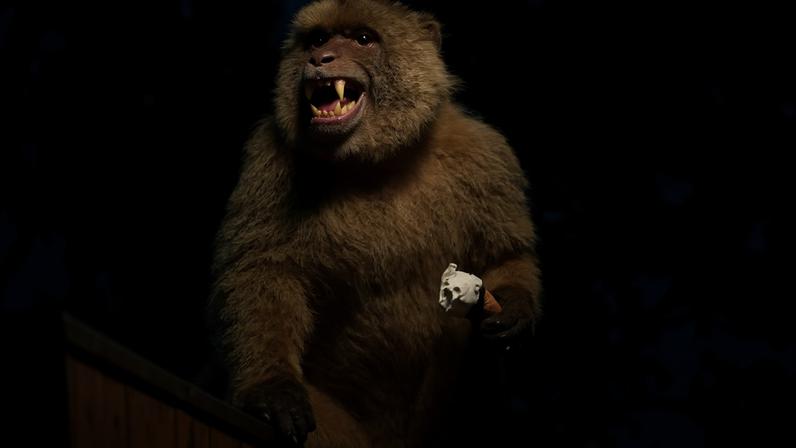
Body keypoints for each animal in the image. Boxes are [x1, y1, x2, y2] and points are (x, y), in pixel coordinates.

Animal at [210, 0, 542, 446]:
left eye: (363, 39)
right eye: (318, 39)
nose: (320, 58)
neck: (381, 159)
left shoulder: (483, 154)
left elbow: (506, 256)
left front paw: (514, 308)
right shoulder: (270, 155)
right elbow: (262, 269)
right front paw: (271, 387)